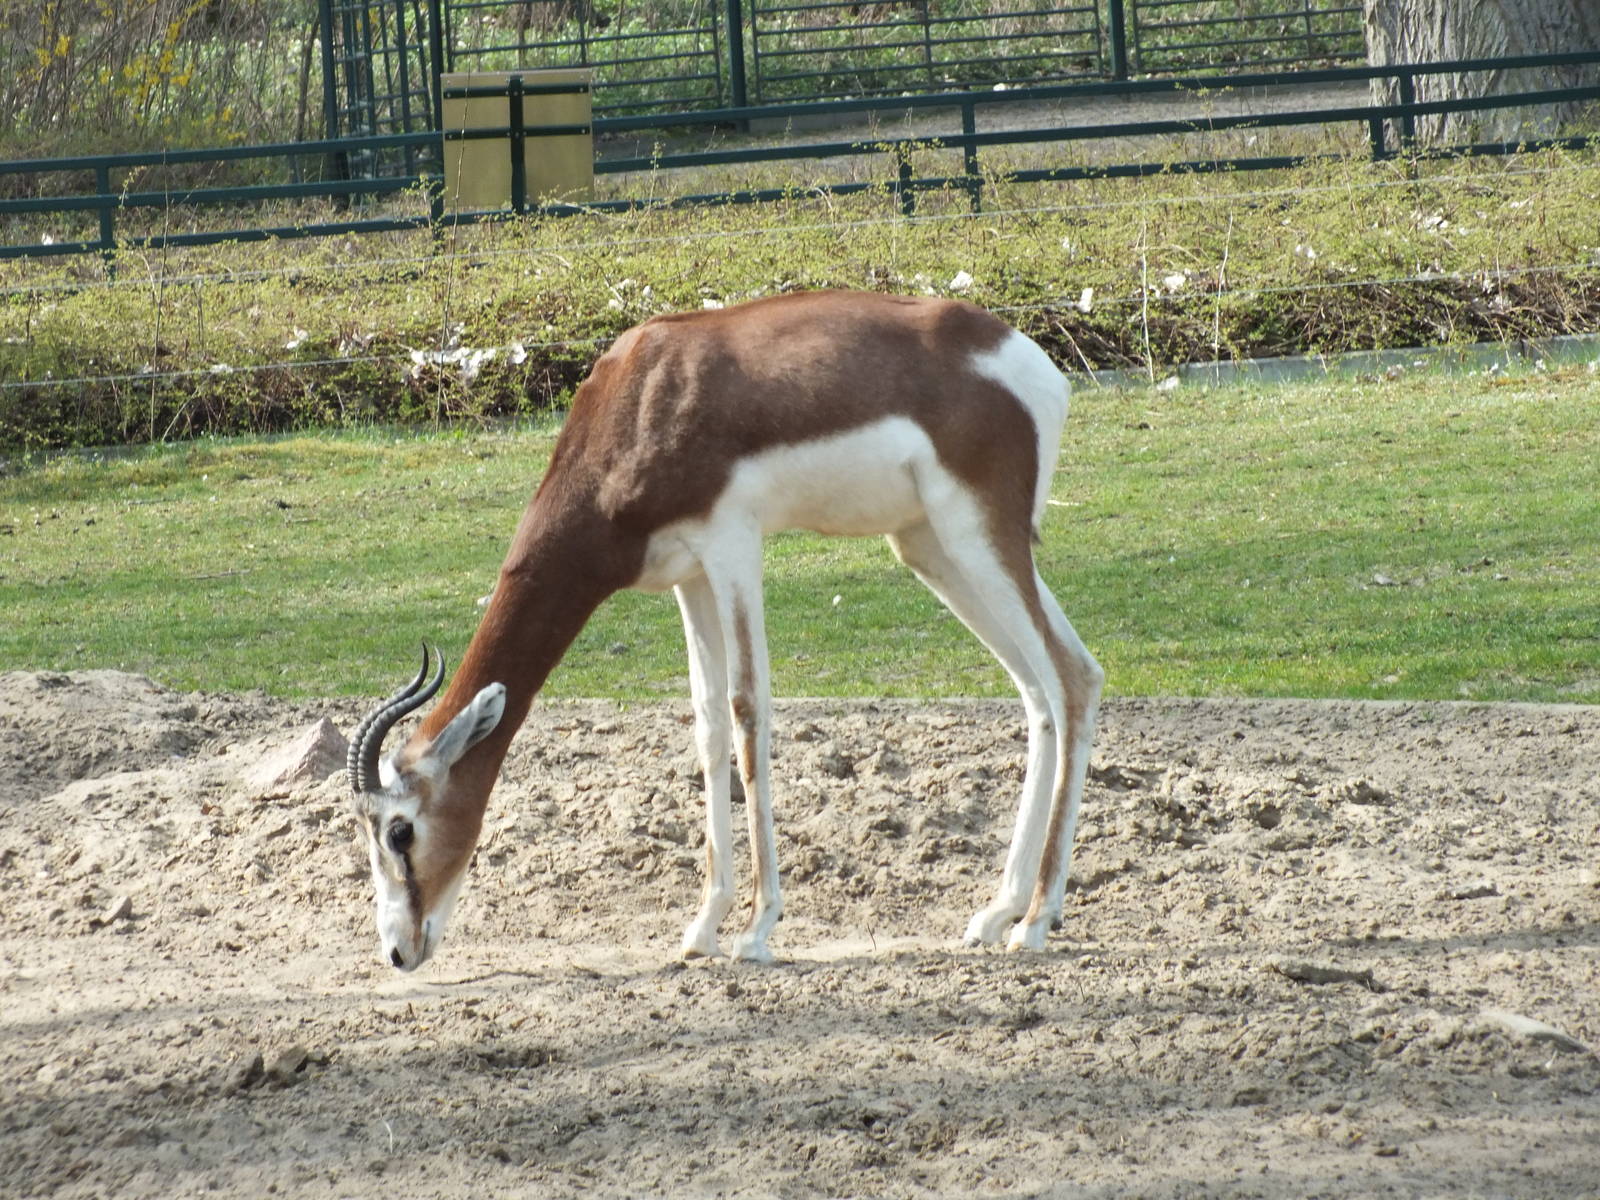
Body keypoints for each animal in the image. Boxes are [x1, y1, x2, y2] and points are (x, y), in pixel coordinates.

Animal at [347, 289, 1103, 971]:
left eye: (399, 831)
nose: (398, 951)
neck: (642, 400)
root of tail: (1031, 361)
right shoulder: (688, 575)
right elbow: (708, 726)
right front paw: (702, 927)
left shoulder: (731, 542)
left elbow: (747, 714)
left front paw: (757, 930)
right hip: (930, 547)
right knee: (1039, 689)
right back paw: (999, 911)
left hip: (978, 534)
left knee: (1071, 676)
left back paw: (1035, 921)